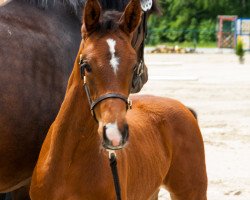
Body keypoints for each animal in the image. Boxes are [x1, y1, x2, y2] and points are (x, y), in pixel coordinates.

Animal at [30, 0, 208, 200]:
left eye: (133, 66)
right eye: (86, 65)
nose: (114, 134)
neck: (68, 164)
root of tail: (184, 108)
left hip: (191, 192)